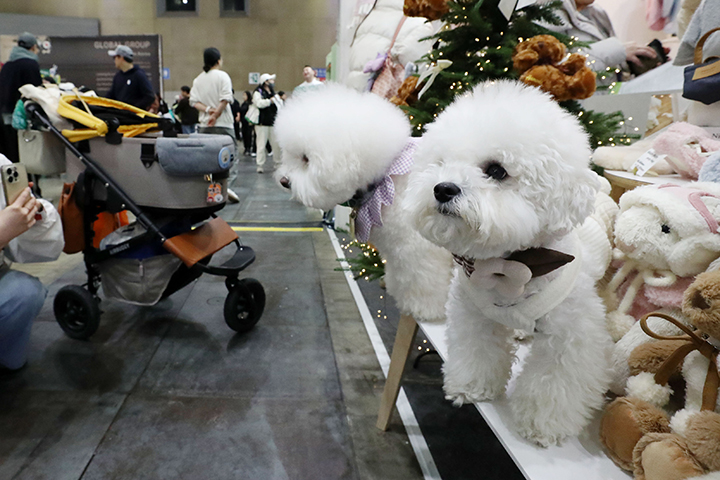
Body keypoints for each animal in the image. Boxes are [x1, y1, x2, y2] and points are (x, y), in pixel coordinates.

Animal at [272, 85, 452, 324]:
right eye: (290, 155)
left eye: (306, 159)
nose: (284, 181)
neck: (388, 176)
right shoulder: (398, 253)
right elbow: (401, 275)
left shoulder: (422, 250)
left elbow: (425, 280)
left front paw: (426, 310)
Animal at [404, 81, 612, 446]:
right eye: (441, 164)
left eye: (496, 171)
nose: (442, 188)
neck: (511, 264)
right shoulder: (473, 314)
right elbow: (477, 350)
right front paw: (472, 386)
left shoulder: (572, 335)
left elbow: (554, 380)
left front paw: (544, 425)